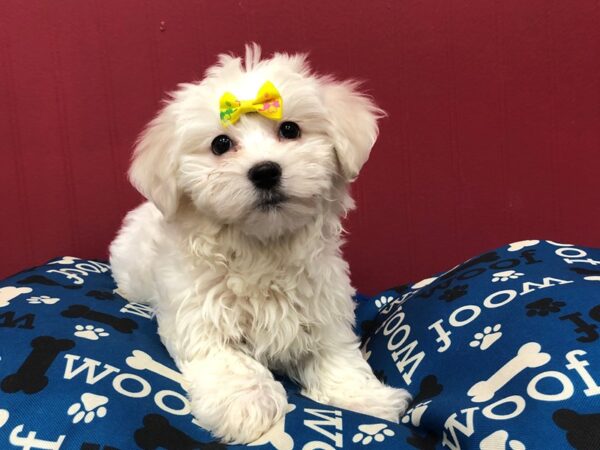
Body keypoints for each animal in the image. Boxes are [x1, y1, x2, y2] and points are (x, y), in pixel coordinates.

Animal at [110, 44, 410, 442]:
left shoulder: (324, 307)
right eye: (221, 144)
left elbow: (336, 354)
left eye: (290, 129)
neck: (263, 249)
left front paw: (362, 397)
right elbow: (229, 361)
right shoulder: (200, 318)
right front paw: (247, 404)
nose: (266, 171)